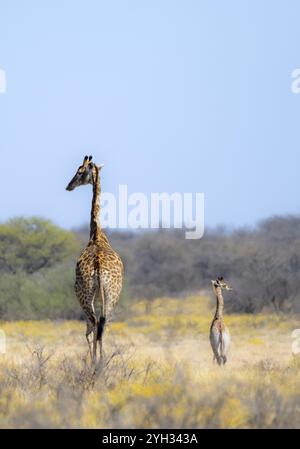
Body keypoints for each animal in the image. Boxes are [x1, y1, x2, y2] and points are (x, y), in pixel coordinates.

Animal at [66, 156, 123, 362]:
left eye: (80, 171)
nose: (69, 185)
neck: (96, 233)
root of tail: (98, 266)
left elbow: (88, 329)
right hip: (112, 295)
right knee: (103, 323)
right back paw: (102, 362)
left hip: (83, 293)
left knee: (93, 324)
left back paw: (95, 362)